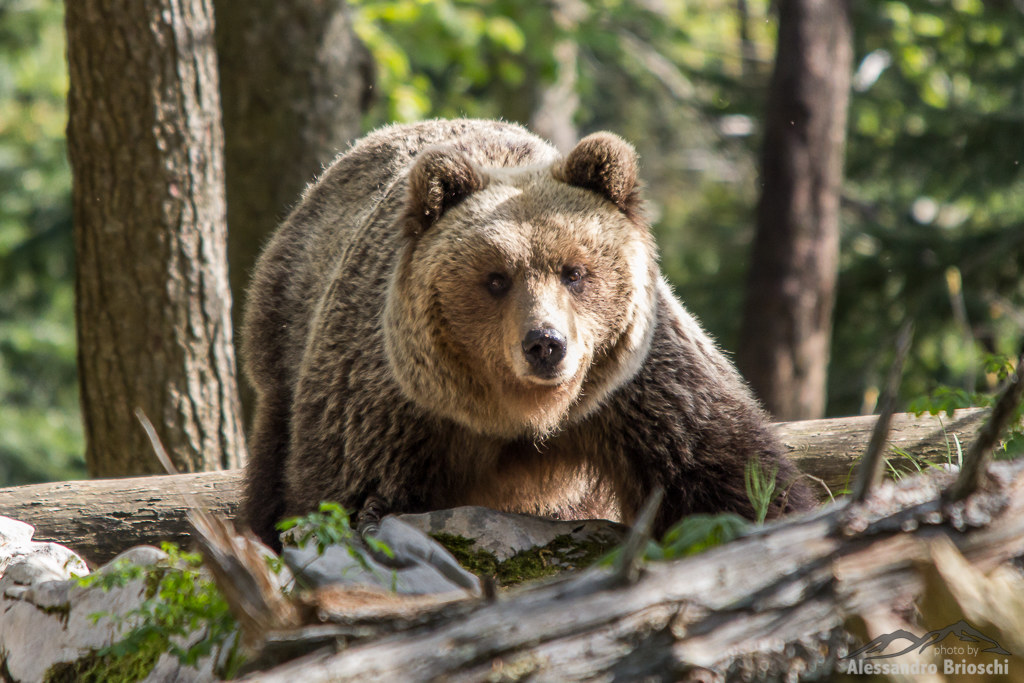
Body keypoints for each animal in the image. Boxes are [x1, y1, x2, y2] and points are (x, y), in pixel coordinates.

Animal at [241, 118, 814, 549]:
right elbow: (346, 489)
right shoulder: (393, 403)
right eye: (496, 278)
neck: (522, 415)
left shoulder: (637, 385)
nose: (545, 344)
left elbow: (724, 473)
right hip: (285, 327)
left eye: (575, 271)